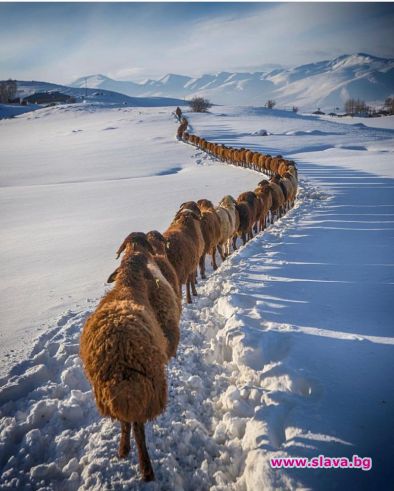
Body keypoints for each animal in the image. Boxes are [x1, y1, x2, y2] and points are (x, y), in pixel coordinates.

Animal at [81, 244, 180, 482]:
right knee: (138, 427)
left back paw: (123, 450)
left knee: (125, 421)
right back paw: (146, 469)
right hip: (149, 386)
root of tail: (121, 353)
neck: (128, 285)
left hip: (112, 391)